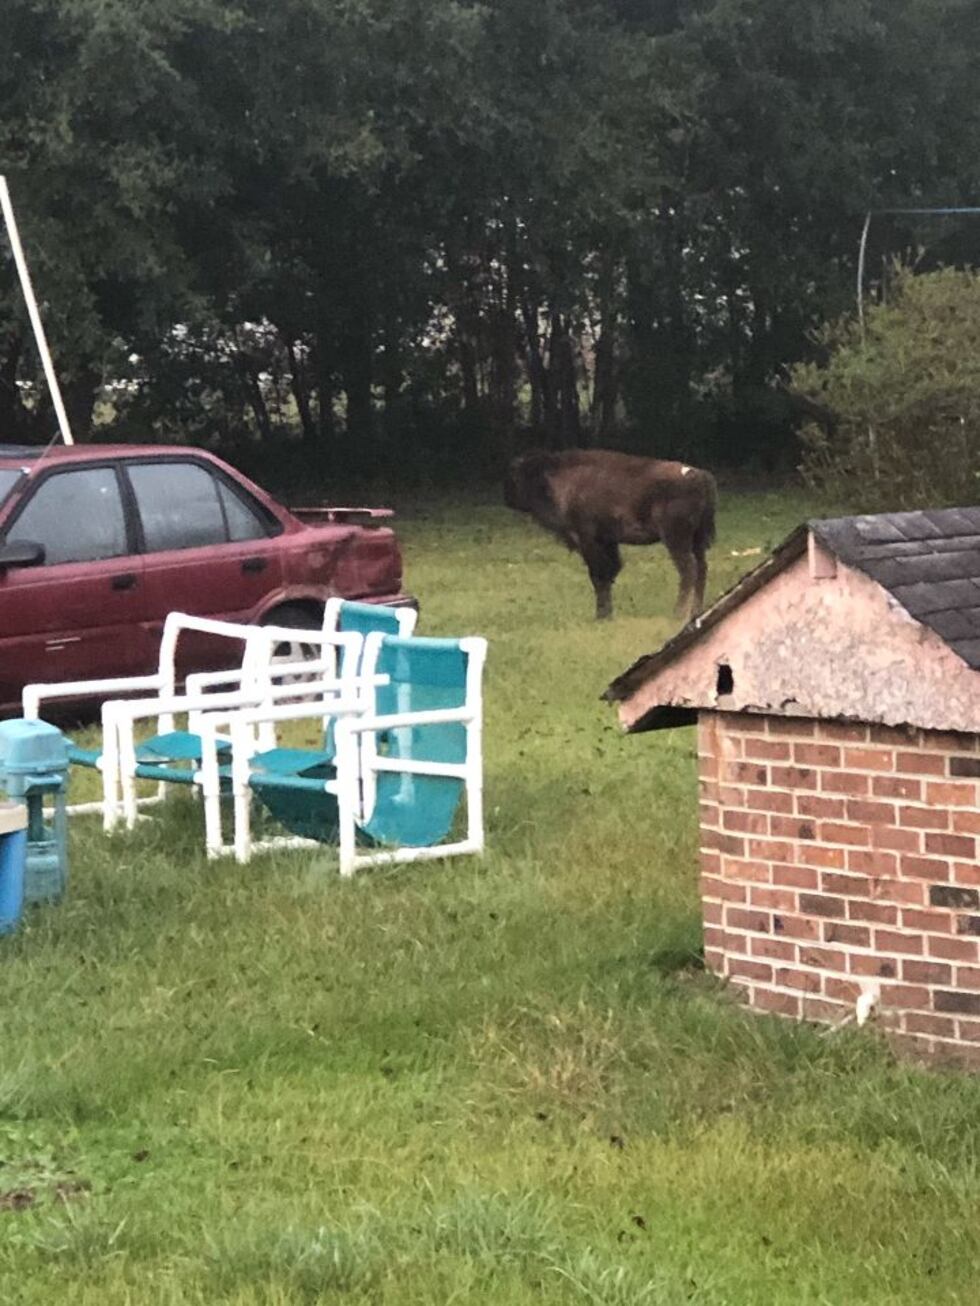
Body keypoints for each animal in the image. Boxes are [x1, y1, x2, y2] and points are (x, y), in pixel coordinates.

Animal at [504, 448, 717, 621]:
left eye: (517, 477)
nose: (507, 499)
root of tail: (699, 475)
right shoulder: (609, 541)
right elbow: (610, 572)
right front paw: (607, 614)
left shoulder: (588, 539)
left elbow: (599, 575)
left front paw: (601, 616)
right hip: (697, 540)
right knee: (702, 568)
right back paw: (696, 611)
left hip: (675, 539)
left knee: (688, 570)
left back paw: (678, 614)